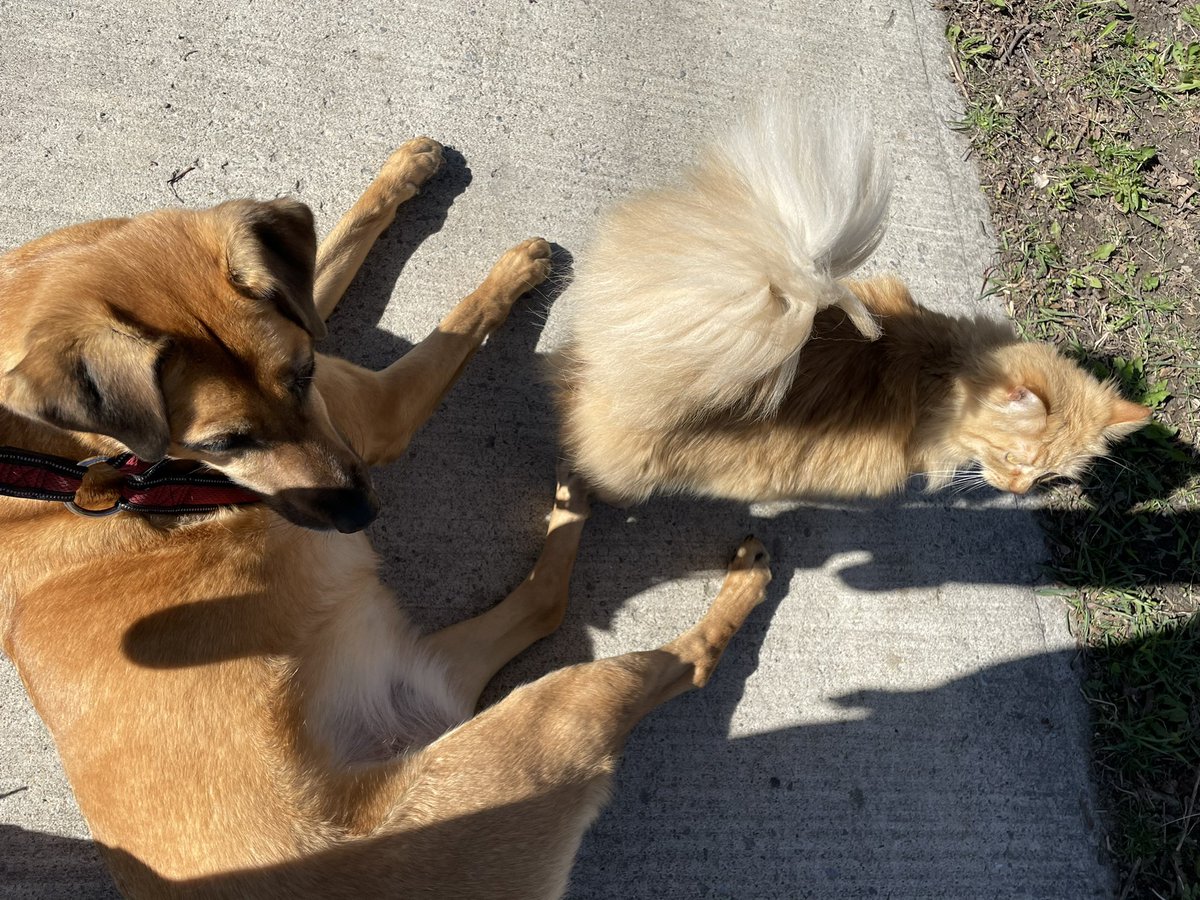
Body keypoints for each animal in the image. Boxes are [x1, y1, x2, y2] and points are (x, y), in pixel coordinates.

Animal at [0, 137, 768, 897]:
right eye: (222, 445)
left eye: (302, 377)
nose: (360, 515)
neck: (72, 454)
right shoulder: (376, 411)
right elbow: (458, 323)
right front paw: (511, 272)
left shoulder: (307, 330)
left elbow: (333, 249)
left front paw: (405, 172)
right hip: (553, 715)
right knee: (677, 659)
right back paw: (736, 585)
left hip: (449, 671)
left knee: (546, 603)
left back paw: (576, 488)